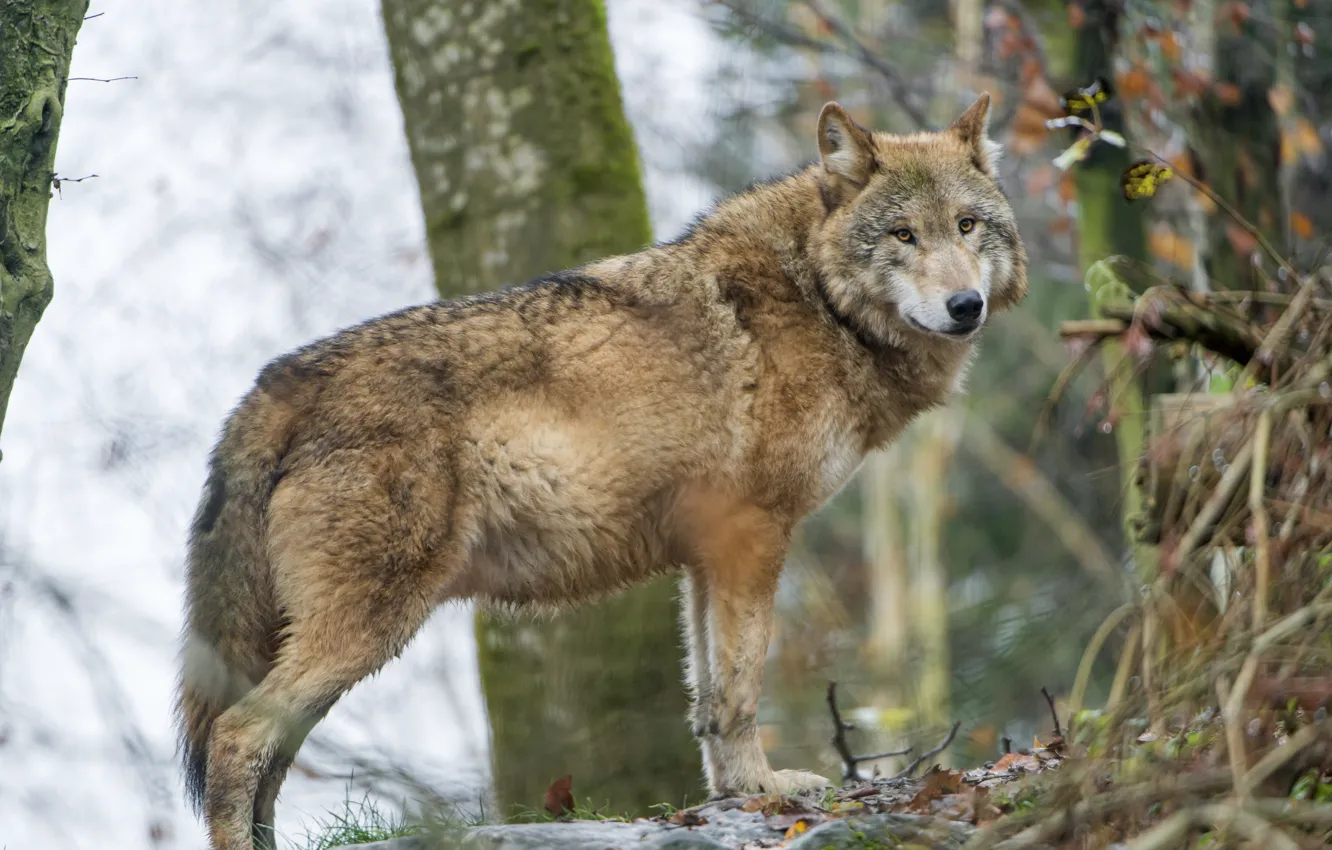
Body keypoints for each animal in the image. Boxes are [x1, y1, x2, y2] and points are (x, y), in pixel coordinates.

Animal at [176, 93, 1027, 850]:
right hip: (371, 625)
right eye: (903, 234)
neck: (820, 298)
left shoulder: (710, 552)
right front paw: (764, 789)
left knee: (268, 754)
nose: (966, 305)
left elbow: (709, 697)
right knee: (238, 736)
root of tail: (273, 385)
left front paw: (737, 792)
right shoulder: (755, 533)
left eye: (967, 225)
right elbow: (742, 687)